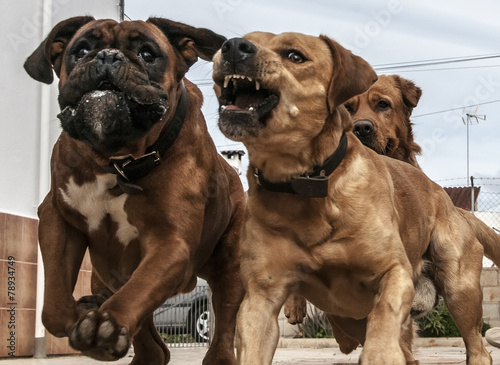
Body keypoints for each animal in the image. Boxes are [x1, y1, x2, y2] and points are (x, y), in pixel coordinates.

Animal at [23, 15, 246, 362]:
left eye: (147, 54)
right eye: (81, 50)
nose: (108, 56)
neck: (118, 161)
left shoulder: (170, 244)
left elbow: (140, 289)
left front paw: (106, 323)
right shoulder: (56, 219)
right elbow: (55, 307)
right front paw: (84, 316)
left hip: (229, 267)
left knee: (221, 324)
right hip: (107, 273)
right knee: (153, 346)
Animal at [212, 32, 492, 364]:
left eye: (295, 56)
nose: (232, 46)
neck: (305, 183)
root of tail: (449, 202)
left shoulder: (394, 274)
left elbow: (384, 323)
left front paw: (381, 353)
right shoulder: (261, 299)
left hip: (460, 290)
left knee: (476, 347)